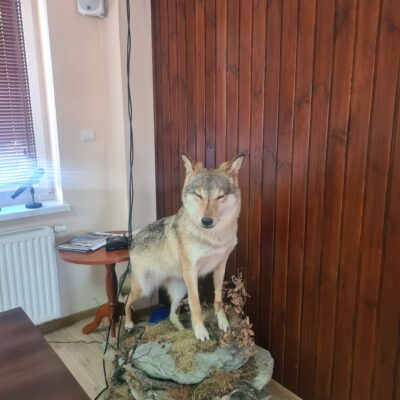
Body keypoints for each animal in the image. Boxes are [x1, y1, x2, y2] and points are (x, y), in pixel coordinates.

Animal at [123, 153, 244, 341]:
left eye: (220, 196)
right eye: (199, 195)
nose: (206, 221)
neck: (213, 239)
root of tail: (133, 240)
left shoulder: (220, 266)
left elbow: (218, 300)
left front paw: (222, 323)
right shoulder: (191, 272)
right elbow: (196, 306)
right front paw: (201, 332)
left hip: (179, 290)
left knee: (172, 315)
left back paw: (182, 331)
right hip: (144, 289)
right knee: (126, 302)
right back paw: (129, 324)